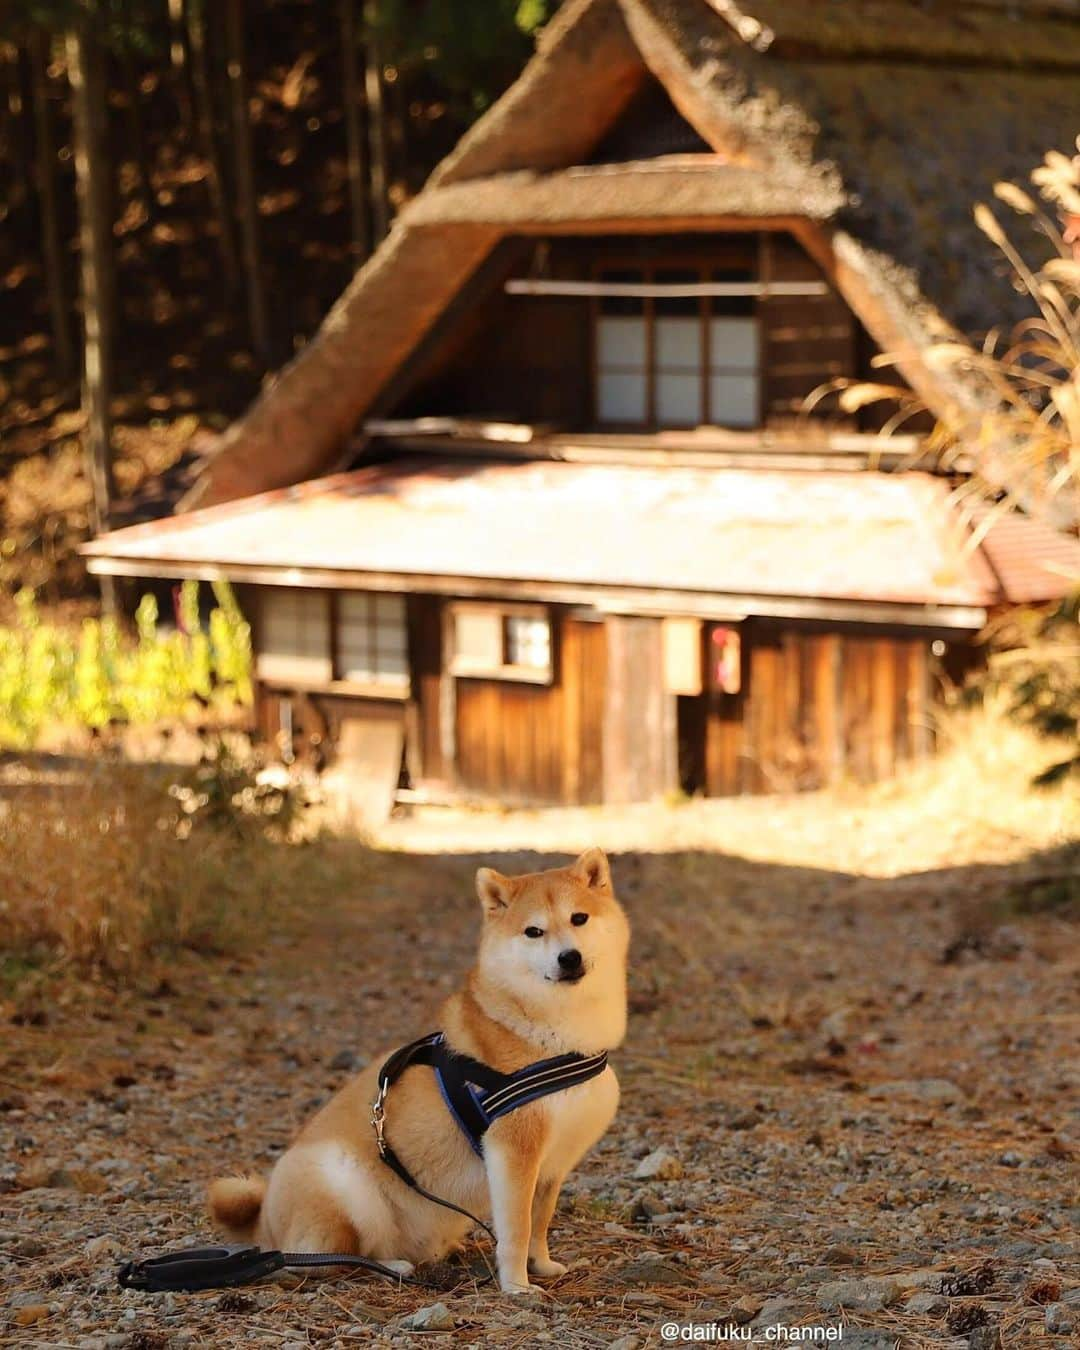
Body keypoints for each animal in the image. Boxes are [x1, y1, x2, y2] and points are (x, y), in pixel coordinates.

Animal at [207, 842, 629, 1296]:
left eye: (579, 918)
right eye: (533, 932)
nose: (569, 957)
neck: (557, 1034)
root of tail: (264, 1224)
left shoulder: (552, 1163)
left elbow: (539, 1223)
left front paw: (543, 1266)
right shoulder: (513, 1152)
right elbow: (516, 1229)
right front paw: (517, 1285)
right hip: (347, 1185)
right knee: (325, 1260)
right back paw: (391, 1266)